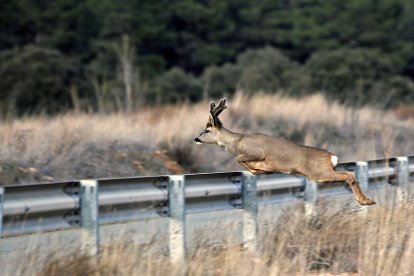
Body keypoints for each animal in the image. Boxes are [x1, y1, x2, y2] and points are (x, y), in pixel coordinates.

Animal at [194, 98, 376, 205]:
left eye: (207, 130)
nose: (196, 138)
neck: (237, 142)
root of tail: (333, 157)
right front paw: (261, 170)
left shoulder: (256, 152)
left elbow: (239, 159)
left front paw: (260, 170)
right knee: (350, 174)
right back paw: (367, 200)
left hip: (319, 173)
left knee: (349, 174)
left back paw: (365, 201)